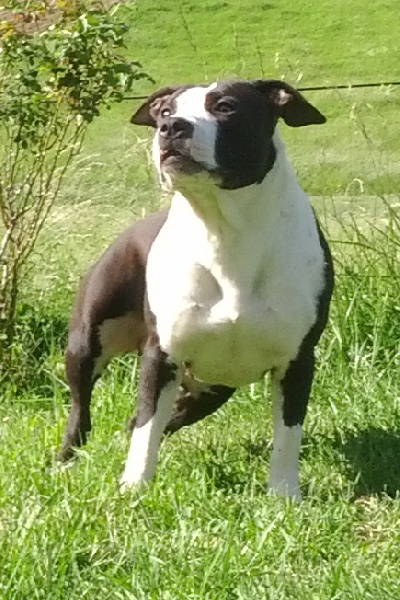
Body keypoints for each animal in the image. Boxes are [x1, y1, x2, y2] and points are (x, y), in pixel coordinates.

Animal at [59, 79, 334, 499]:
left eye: (226, 106)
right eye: (165, 111)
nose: (171, 128)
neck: (225, 229)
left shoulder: (298, 359)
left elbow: (288, 434)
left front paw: (285, 495)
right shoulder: (161, 356)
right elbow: (146, 430)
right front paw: (134, 487)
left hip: (213, 384)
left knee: (161, 414)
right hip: (87, 342)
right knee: (82, 409)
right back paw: (66, 460)